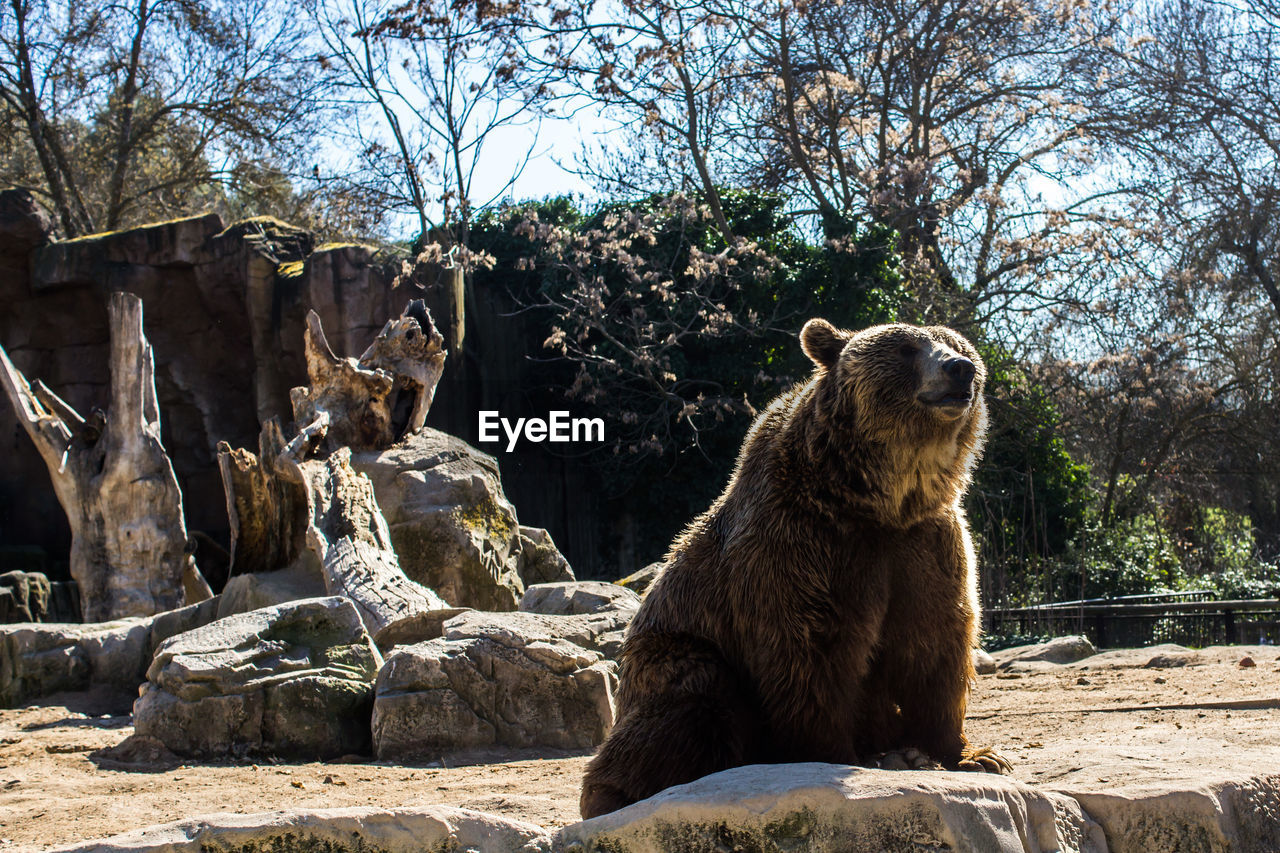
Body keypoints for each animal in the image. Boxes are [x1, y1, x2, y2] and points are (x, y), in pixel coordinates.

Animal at [581, 315, 1008, 814]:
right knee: (690, 699)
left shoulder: (925, 544)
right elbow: (810, 650)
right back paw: (614, 794)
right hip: (674, 651)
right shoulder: (802, 544)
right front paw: (836, 755)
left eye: (957, 345)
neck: (879, 499)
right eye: (906, 349)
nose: (960, 370)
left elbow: (936, 640)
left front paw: (975, 755)